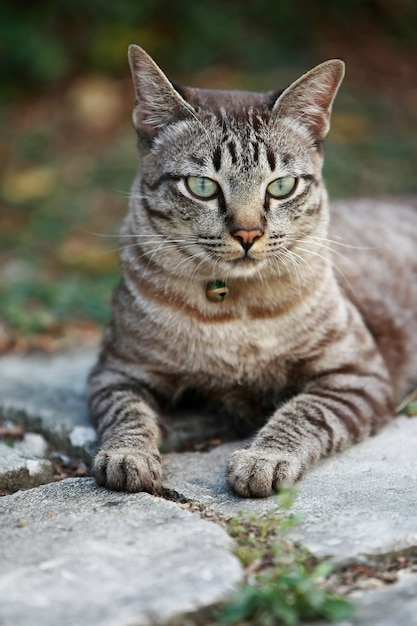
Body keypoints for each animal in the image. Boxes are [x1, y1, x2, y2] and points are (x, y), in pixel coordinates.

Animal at [88, 44, 416, 494]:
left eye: (281, 186)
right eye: (202, 186)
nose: (247, 234)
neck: (234, 310)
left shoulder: (357, 372)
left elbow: (303, 412)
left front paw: (264, 458)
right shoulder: (118, 370)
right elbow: (127, 413)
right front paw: (128, 455)